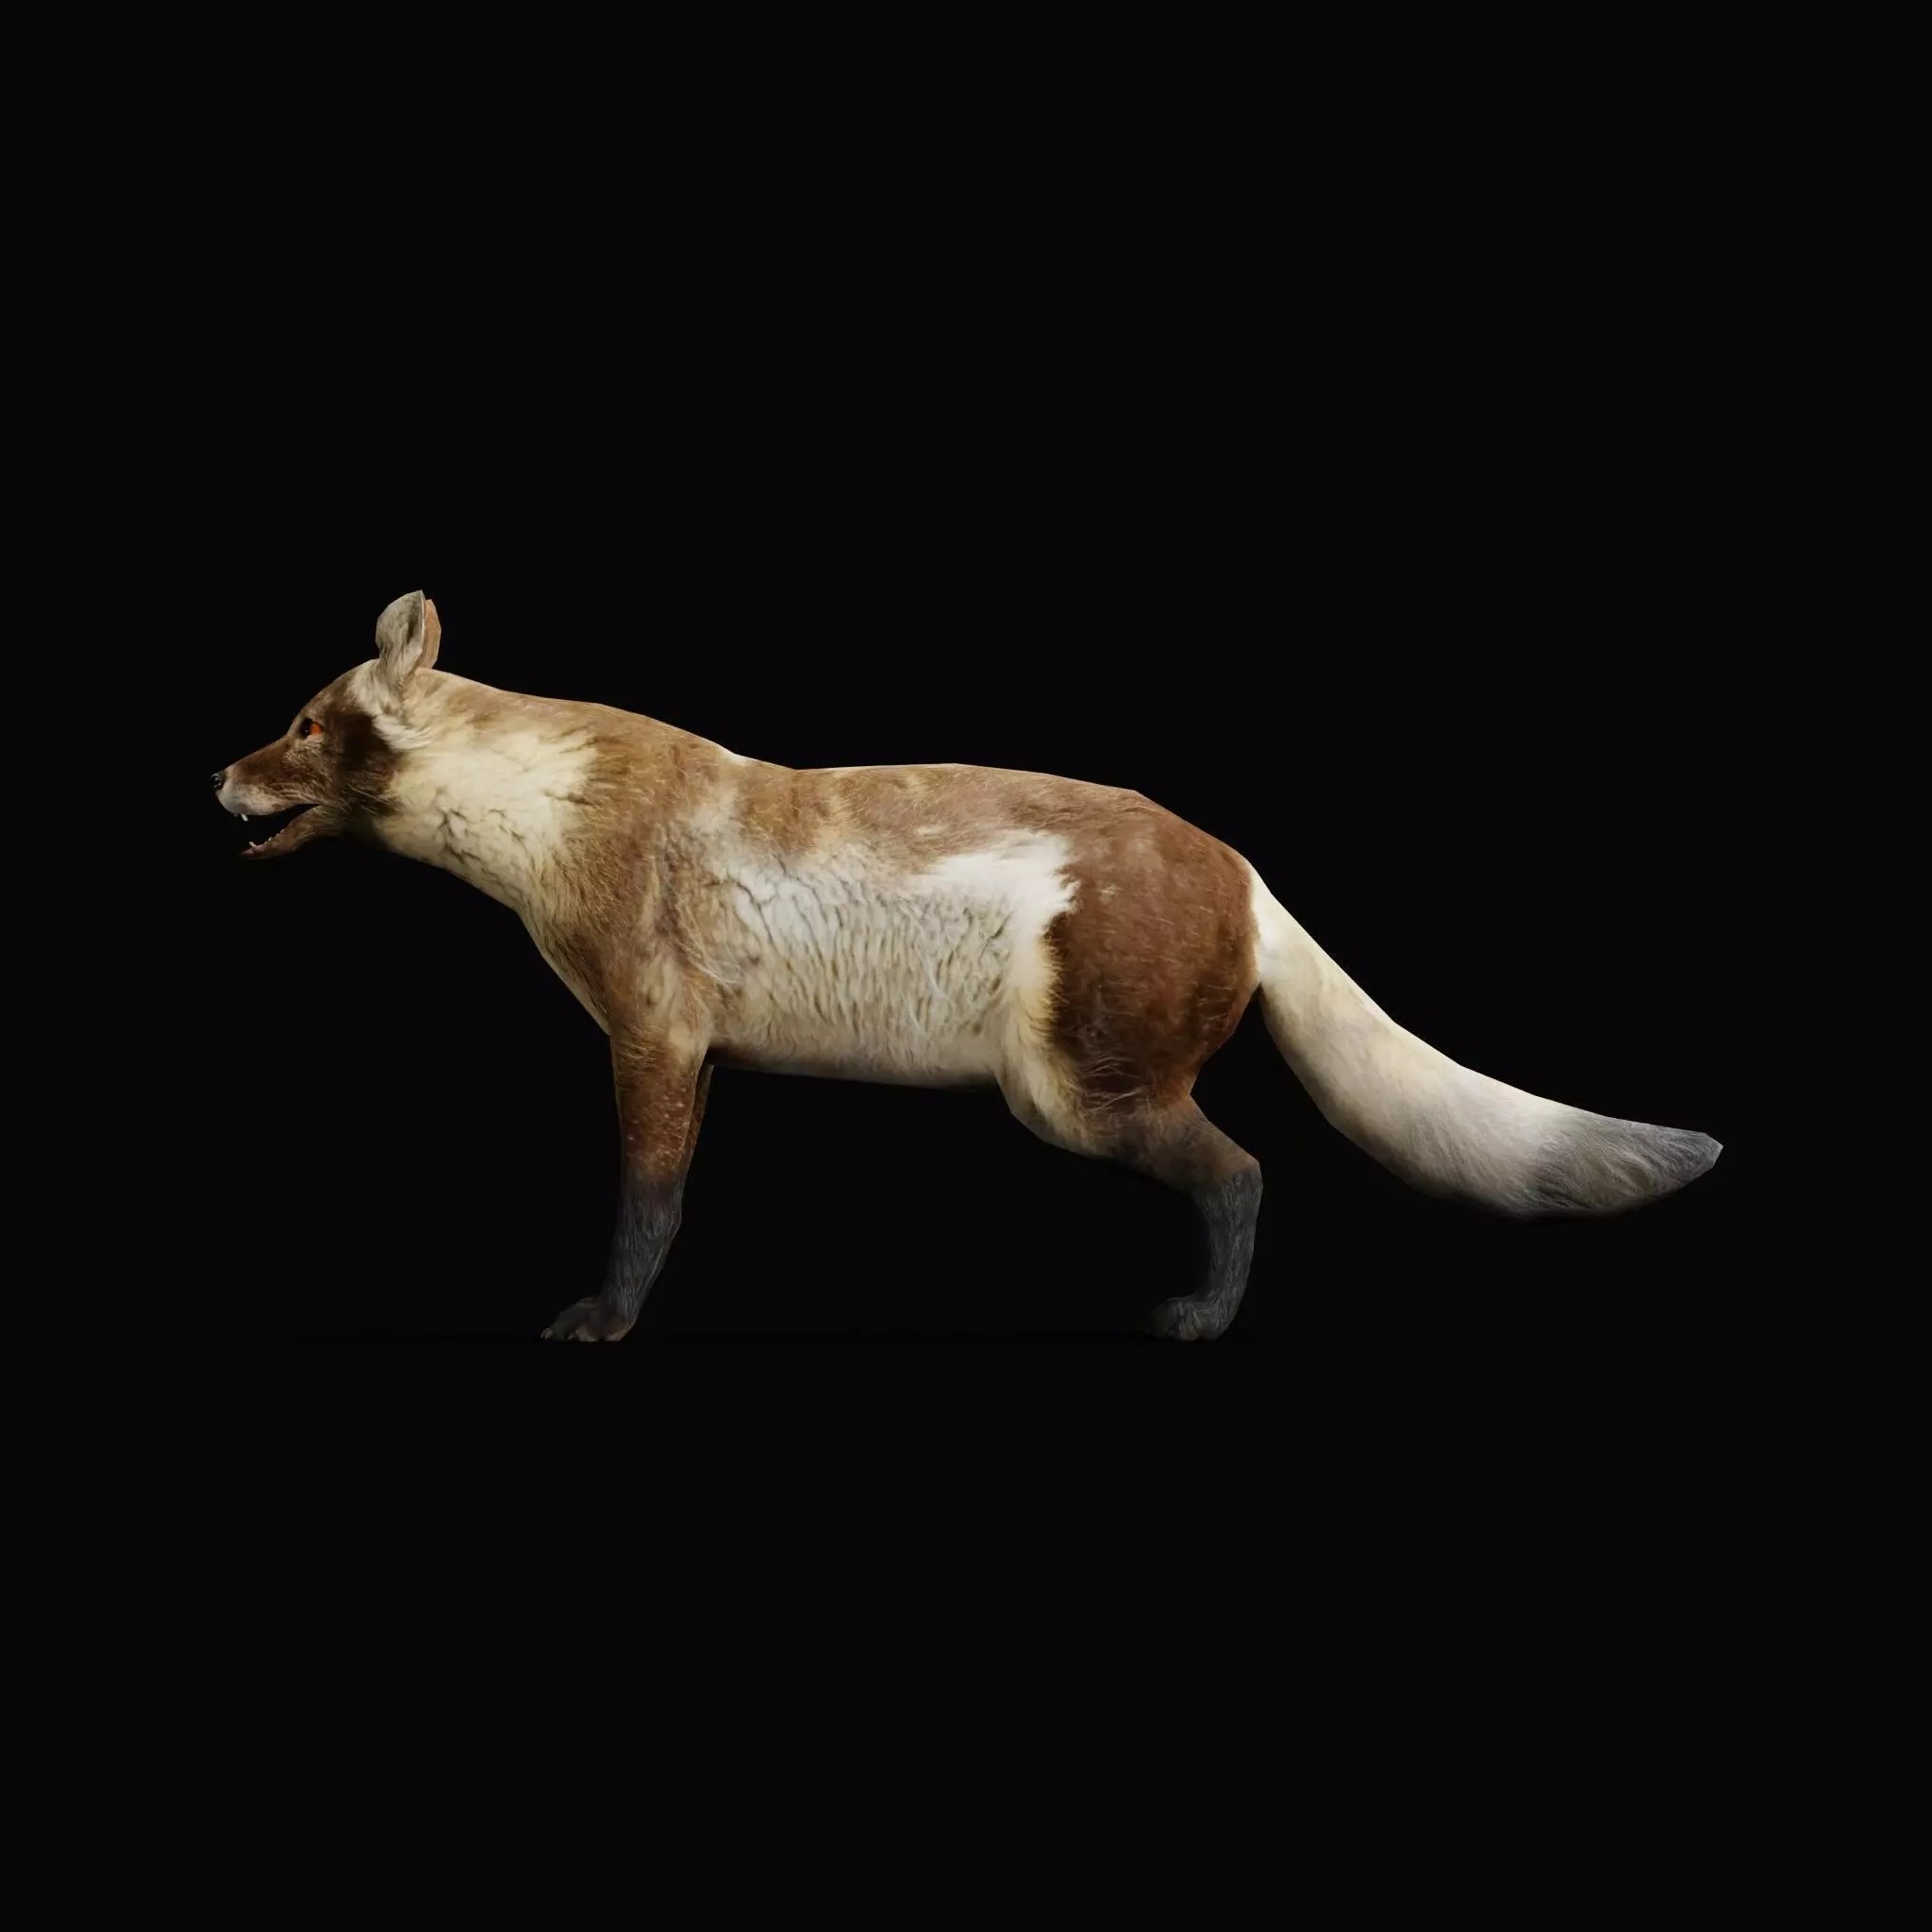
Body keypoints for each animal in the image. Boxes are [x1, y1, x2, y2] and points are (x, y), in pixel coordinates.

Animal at [214, 591, 1721, 1342]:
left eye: (304, 725)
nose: (215, 775)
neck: (551, 814)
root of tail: (1249, 876)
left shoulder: (649, 1032)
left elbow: (646, 1204)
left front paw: (605, 1320)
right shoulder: (696, 1052)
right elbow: (671, 1195)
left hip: (1074, 1093)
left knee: (1241, 1174)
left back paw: (1198, 1320)